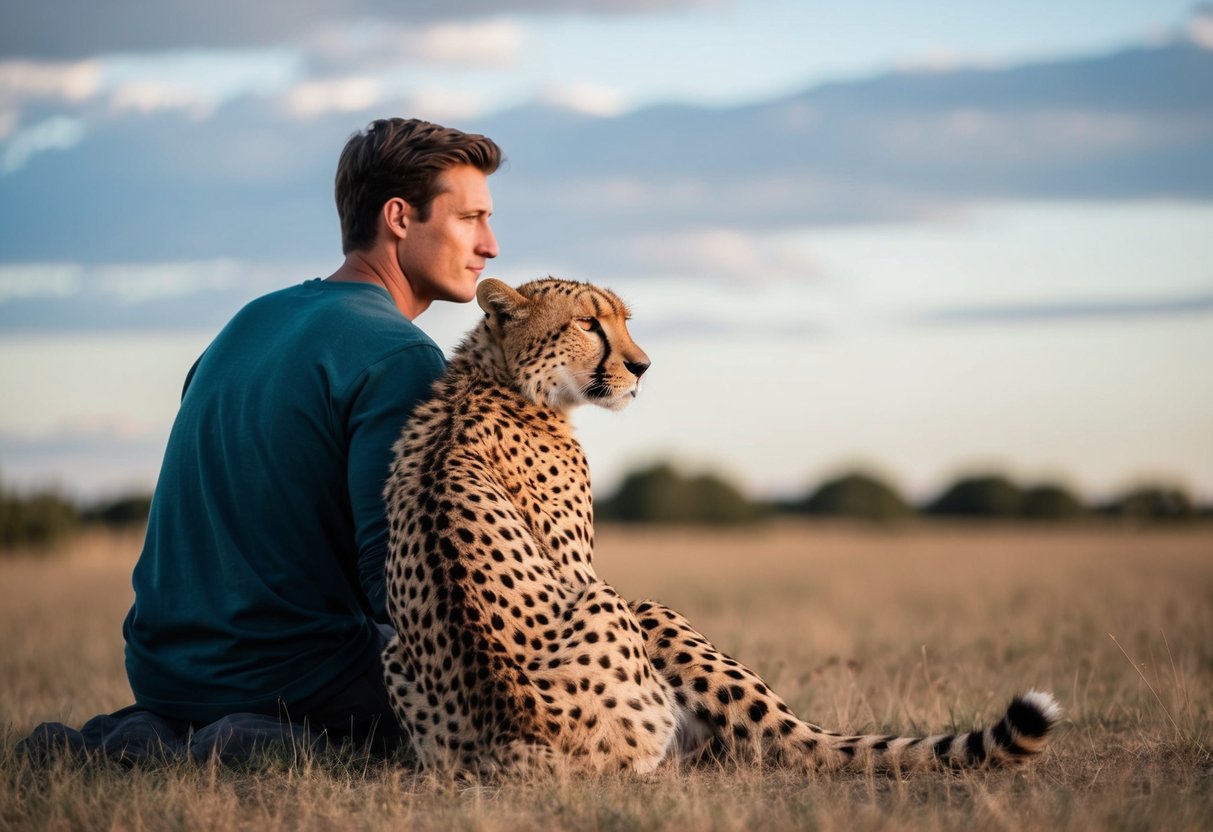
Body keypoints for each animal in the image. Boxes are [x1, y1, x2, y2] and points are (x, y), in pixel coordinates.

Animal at [381, 276, 1061, 776]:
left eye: (624, 320)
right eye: (588, 323)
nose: (642, 366)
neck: (494, 376)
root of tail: (525, 736)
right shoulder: (580, 570)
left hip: (398, 656)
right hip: (636, 615)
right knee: (787, 736)